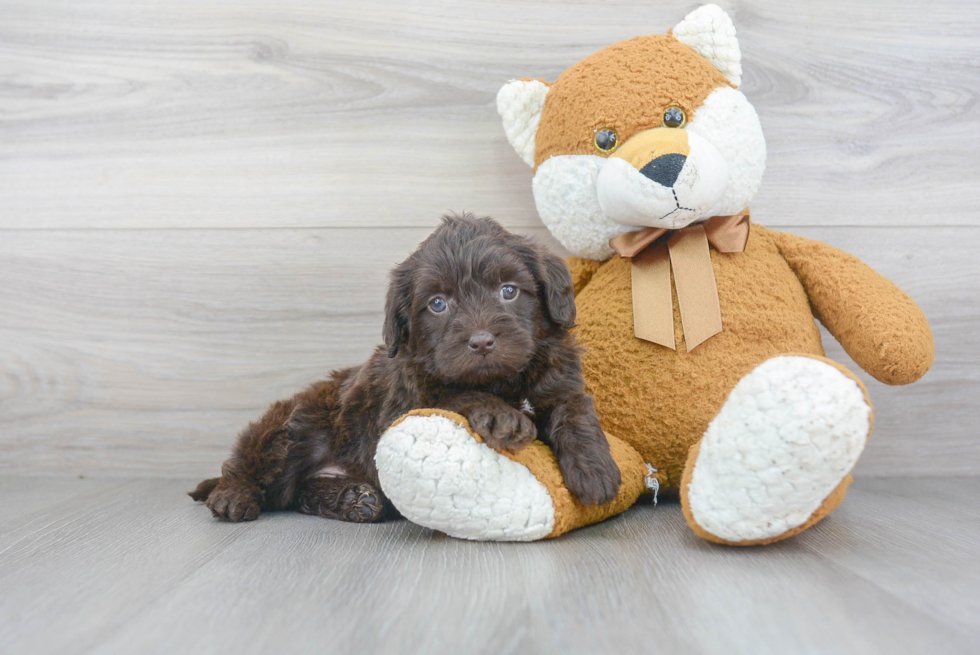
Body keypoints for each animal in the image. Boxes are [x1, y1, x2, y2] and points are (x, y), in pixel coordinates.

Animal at [189, 215, 620, 524]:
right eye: (438, 304)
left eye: (509, 291)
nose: (481, 342)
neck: (502, 380)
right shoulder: (407, 400)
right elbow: (458, 393)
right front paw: (504, 418)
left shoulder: (559, 378)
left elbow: (574, 410)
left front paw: (595, 470)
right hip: (292, 426)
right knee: (252, 466)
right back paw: (232, 496)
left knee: (297, 494)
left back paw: (354, 500)